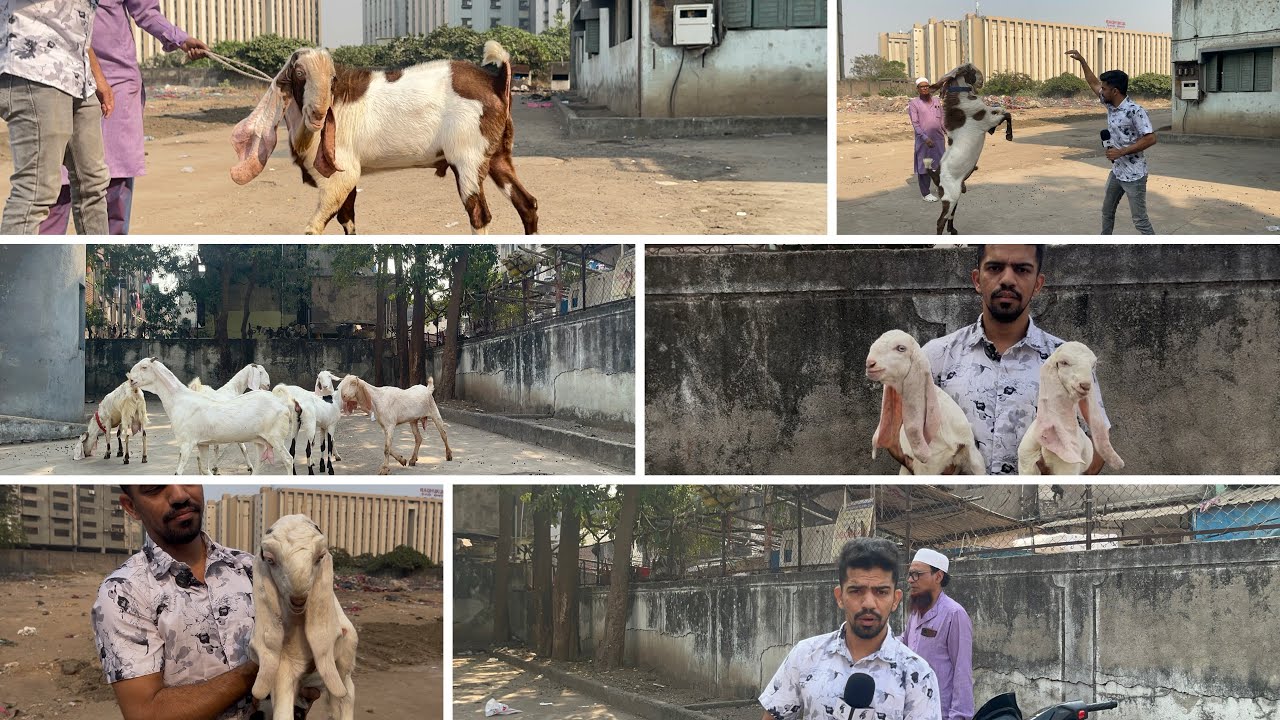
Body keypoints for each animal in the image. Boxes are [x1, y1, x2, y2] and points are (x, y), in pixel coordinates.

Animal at [126, 358, 300, 475]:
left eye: (144, 367)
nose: (130, 379)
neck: (179, 399)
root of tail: (280, 402)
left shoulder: (187, 443)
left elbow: (178, 473)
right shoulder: (202, 444)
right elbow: (204, 468)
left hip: (275, 437)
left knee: (288, 459)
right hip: (260, 440)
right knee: (259, 465)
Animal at [230, 41, 538, 236]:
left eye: (332, 78)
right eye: (298, 72)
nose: (317, 113)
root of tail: (496, 82)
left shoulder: (339, 177)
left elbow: (313, 229)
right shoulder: (348, 178)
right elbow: (347, 220)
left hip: (468, 157)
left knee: (479, 215)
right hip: (497, 154)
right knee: (528, 203)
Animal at [251, 514, 357, 720]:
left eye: (320, 557)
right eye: (270, 560)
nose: (299, 600)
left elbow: (344, 693)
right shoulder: (282, 662)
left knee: (347, 692)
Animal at [923, 63, 1013, 235]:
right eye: (970, 69)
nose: (982, 81)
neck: (963, 99)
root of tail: (936, 175)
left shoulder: (990, 113)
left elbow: (1002, 109)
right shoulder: (987, 120)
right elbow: (1007, 114)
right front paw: (1009, 135)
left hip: (957, 193)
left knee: (950, 215)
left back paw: (953, 230)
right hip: (950, 196)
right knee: (940, 220)